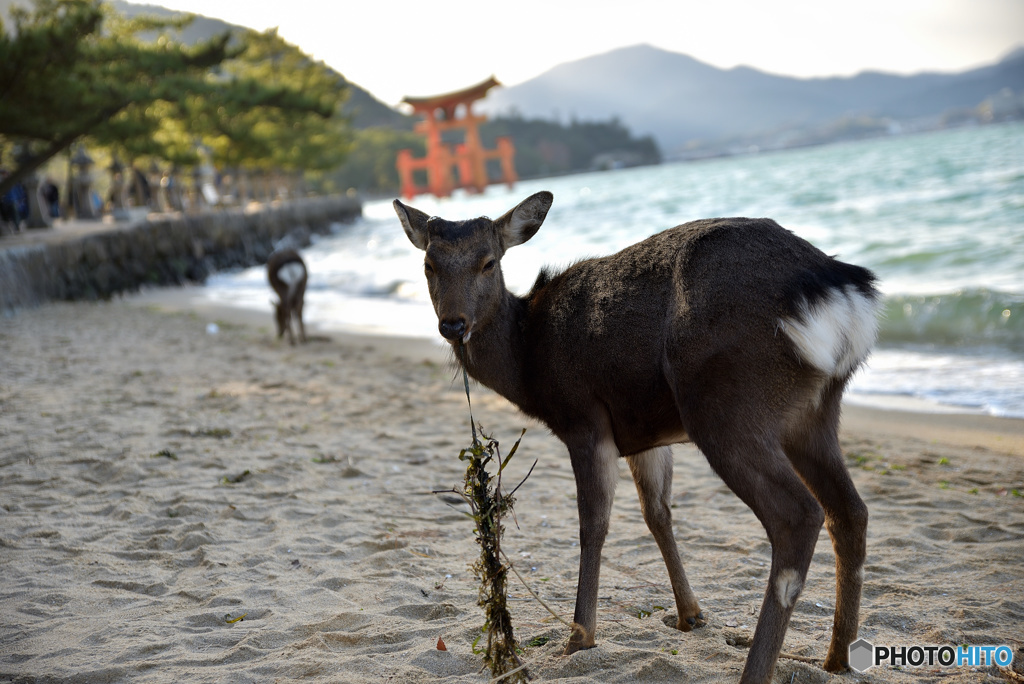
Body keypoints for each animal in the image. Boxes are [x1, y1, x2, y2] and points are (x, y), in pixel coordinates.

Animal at [391, 191, 880, 684]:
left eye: (489, 262)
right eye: (429, 263)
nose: (453, 325)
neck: (529, 364)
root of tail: (836, 289)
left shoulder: (584, 417)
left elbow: (593, 523)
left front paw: (579, 638)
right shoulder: (645, 436)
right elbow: (657, 513)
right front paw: (690, 615)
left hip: (725, 404)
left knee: (798, 514)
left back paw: (757, 672)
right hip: (812, 414)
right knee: (850, 511)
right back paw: (837, 659)